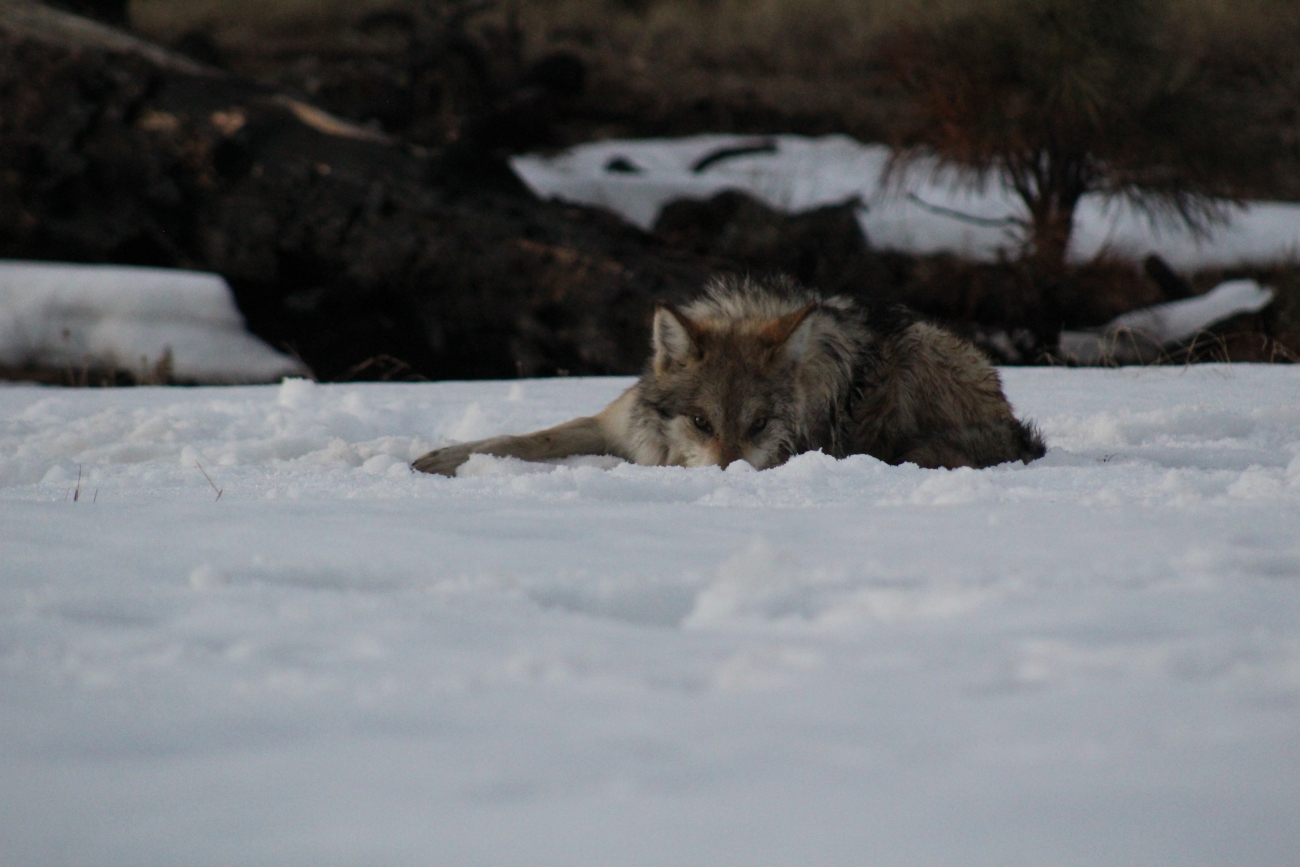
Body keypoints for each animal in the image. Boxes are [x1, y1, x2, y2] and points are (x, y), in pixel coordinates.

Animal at [412, 274, 1045, 475]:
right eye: (700, 421)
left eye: (759, 425)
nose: (730, 476)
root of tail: (1012, 422)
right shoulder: (612, 425)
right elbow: (527, 438)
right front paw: (442, 459)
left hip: (915, 354)